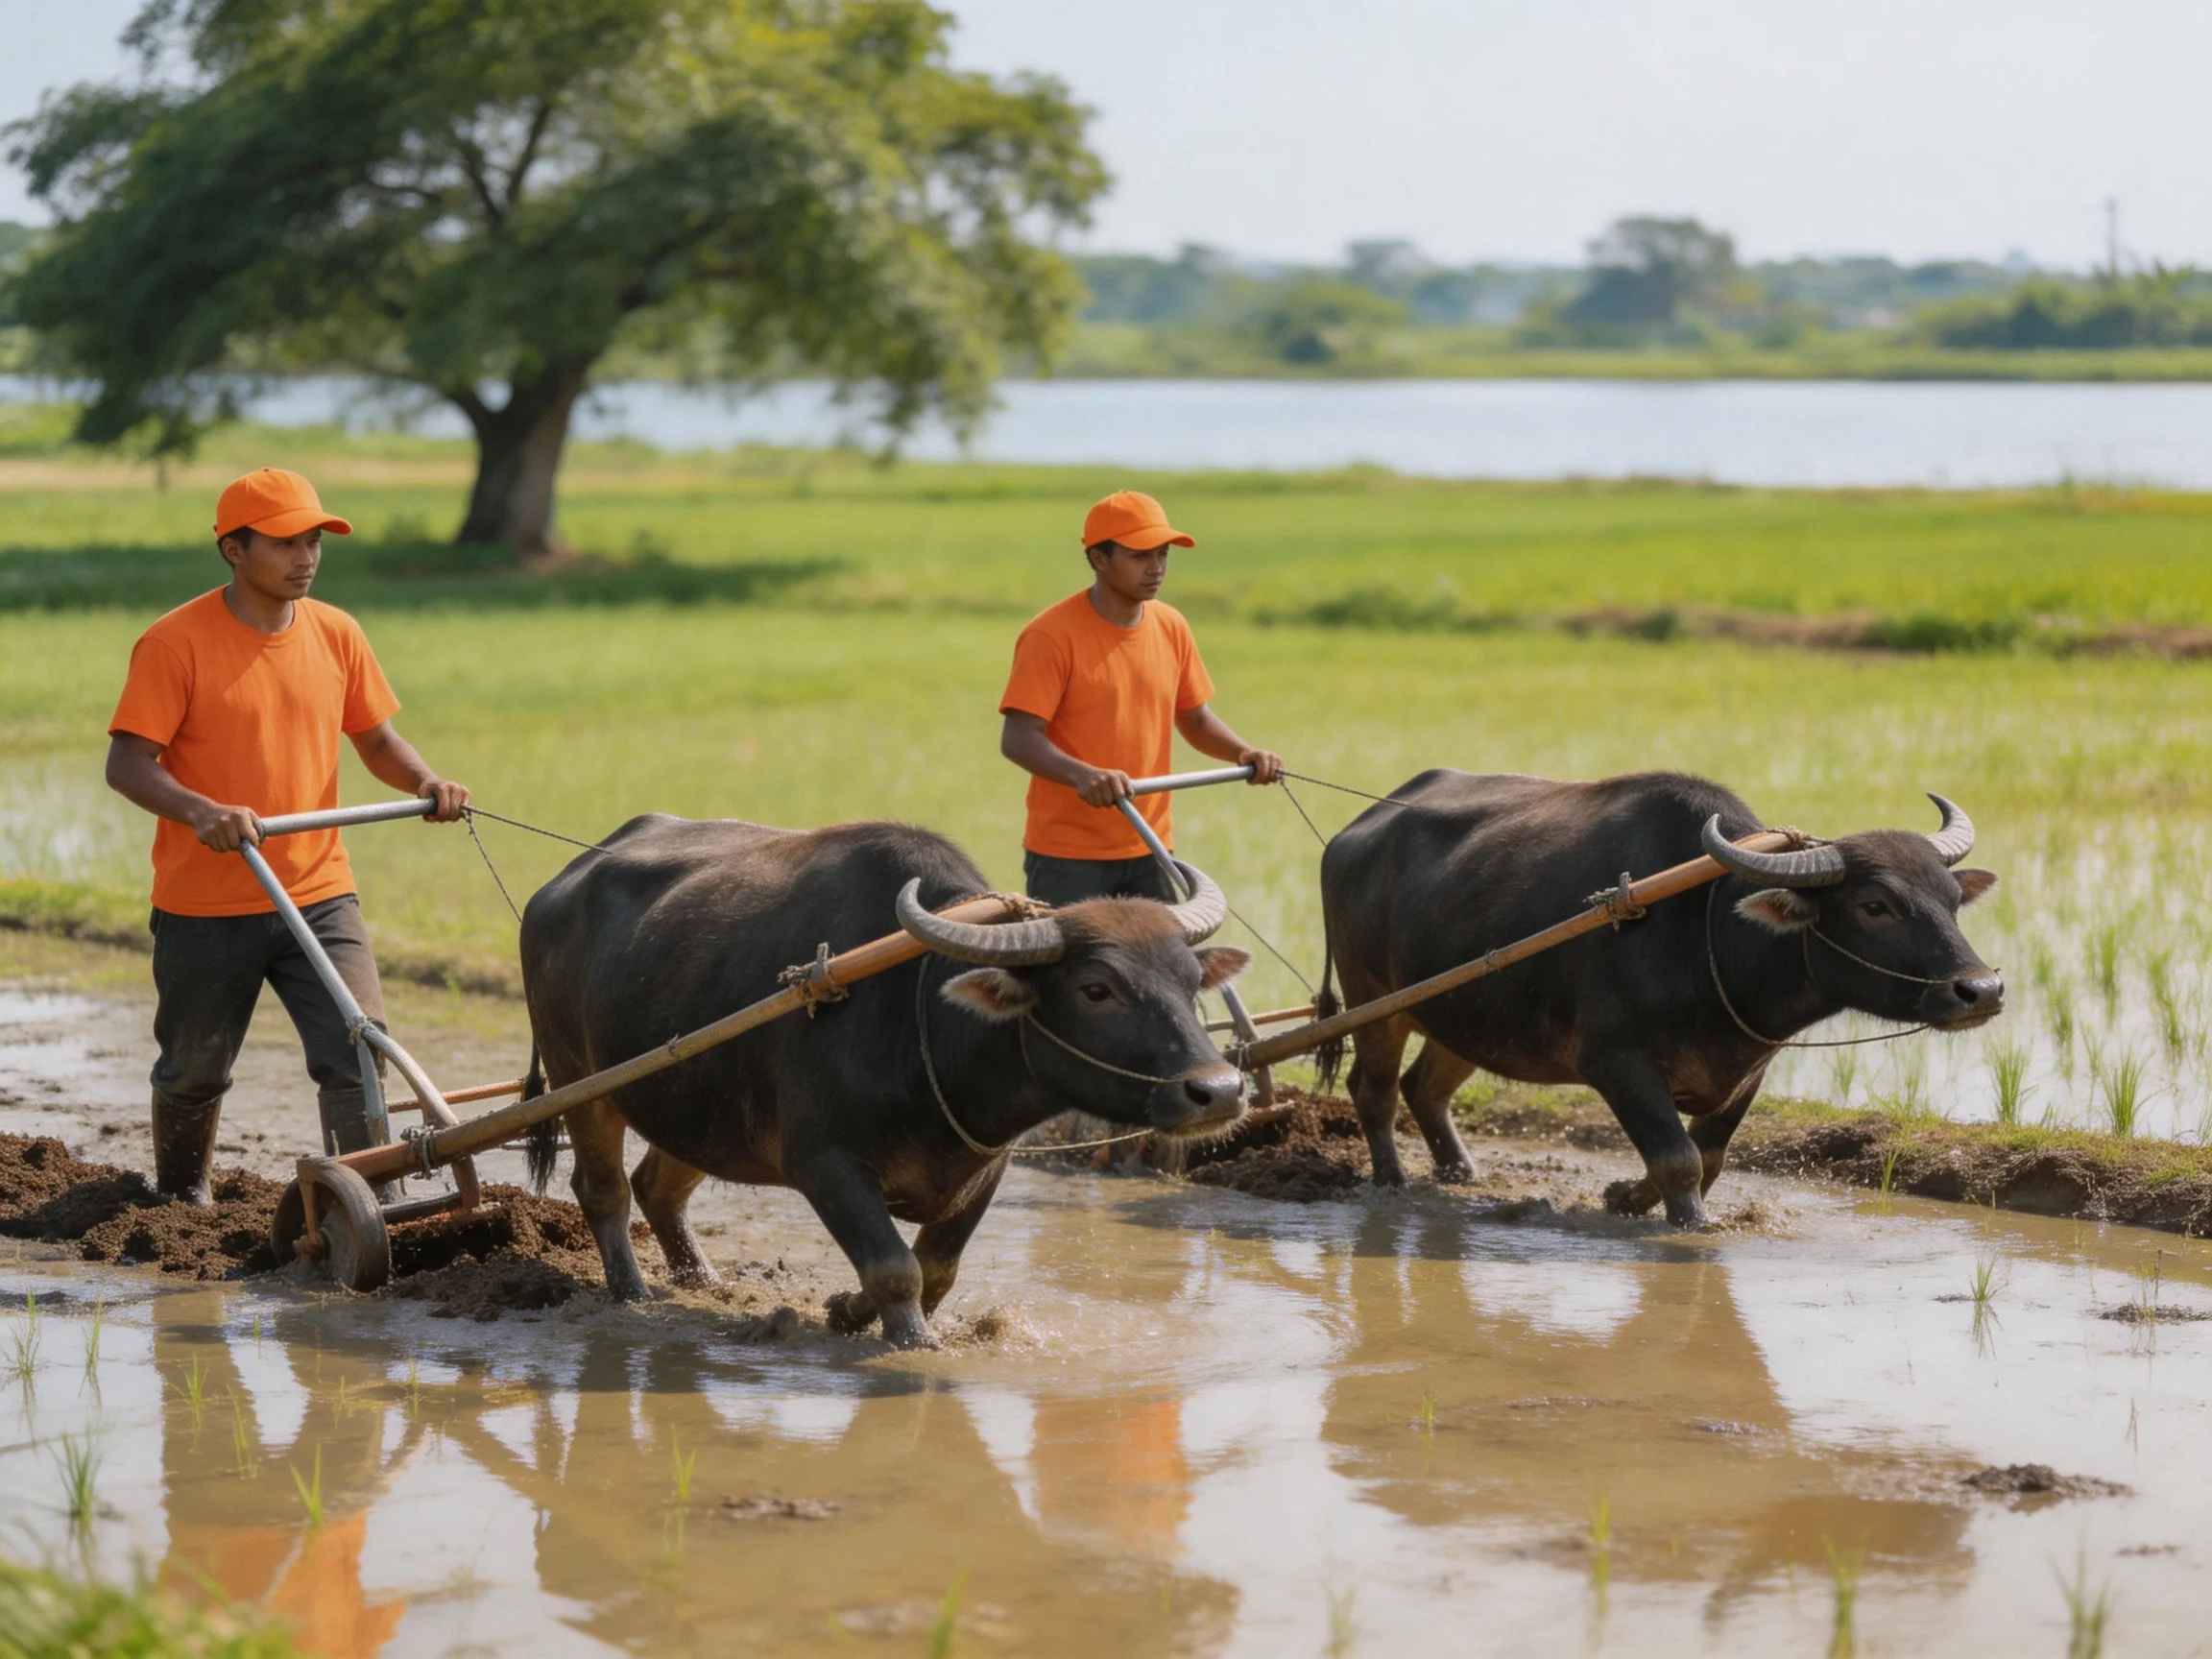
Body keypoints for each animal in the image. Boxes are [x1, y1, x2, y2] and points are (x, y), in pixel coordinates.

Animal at [519, 815, 1250, 1346]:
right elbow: (895, 1268)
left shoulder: (988, 1166)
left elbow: (937, 1271)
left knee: (658, 1188)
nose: (1219, 1091)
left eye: (1191, 980)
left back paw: (703, 1282)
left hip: (696, 1102)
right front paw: (910, 1342)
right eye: (1096, 989)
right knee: (604, 1190)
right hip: (581, 1078)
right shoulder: (824, 1163)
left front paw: (845, 1309)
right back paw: (631, 1292)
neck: (924, 1020)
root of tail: (557, 887)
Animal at [1316, 770, 2002, 1225]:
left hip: (1465, 1014)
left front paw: (1623, 1196)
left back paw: (1458, 1172)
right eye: (1875, 905)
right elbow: (1678, 1159)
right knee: (1372, 1089)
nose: (1982, 990)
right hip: (1375, 999)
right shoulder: (1615, 1062)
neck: (1710, 933)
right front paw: (1689, 1222)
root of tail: (1349, 835)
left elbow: (1710, 1156)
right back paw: (1392, 1180)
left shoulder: (1749, 1070)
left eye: (1951, 899)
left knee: (1423, 1088)